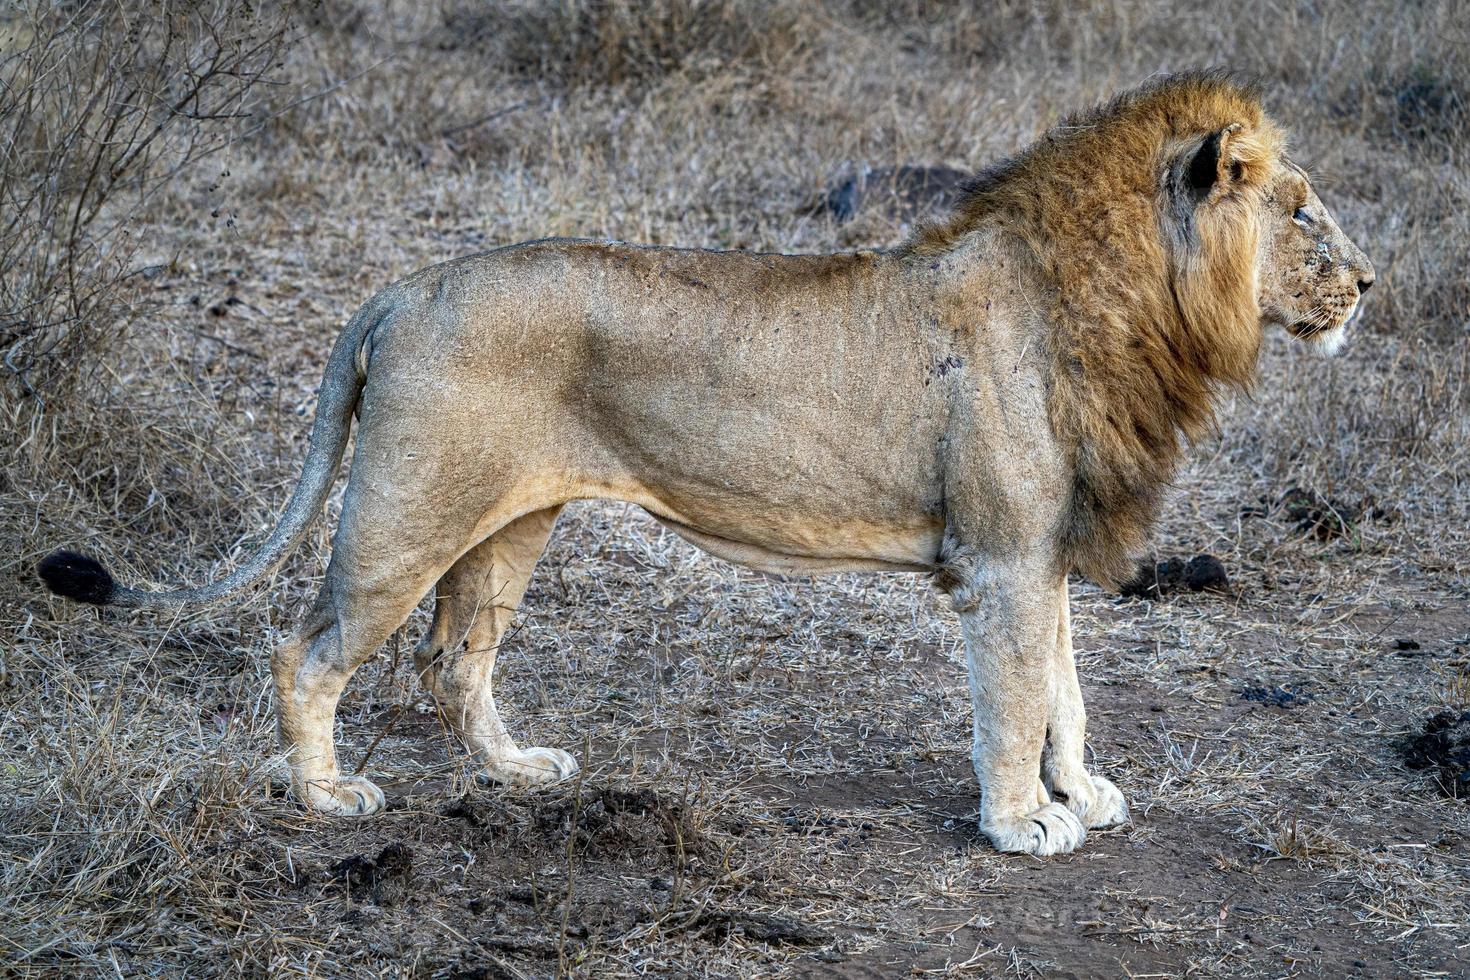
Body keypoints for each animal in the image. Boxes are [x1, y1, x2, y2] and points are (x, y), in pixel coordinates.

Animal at [45, 74, 1375, 858]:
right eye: (1304, 212)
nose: (1369, 283)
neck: (1123, 301)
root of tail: (402, 286)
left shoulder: (1040, 549)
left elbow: (1067, 691)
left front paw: (1082, 791)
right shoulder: (999, 557)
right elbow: (1014, 697)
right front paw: (1019, 823)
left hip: (507, 524)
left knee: (451, 661)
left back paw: (519, 771)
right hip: (406, 510)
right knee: (308, 649)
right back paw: (324, 798)